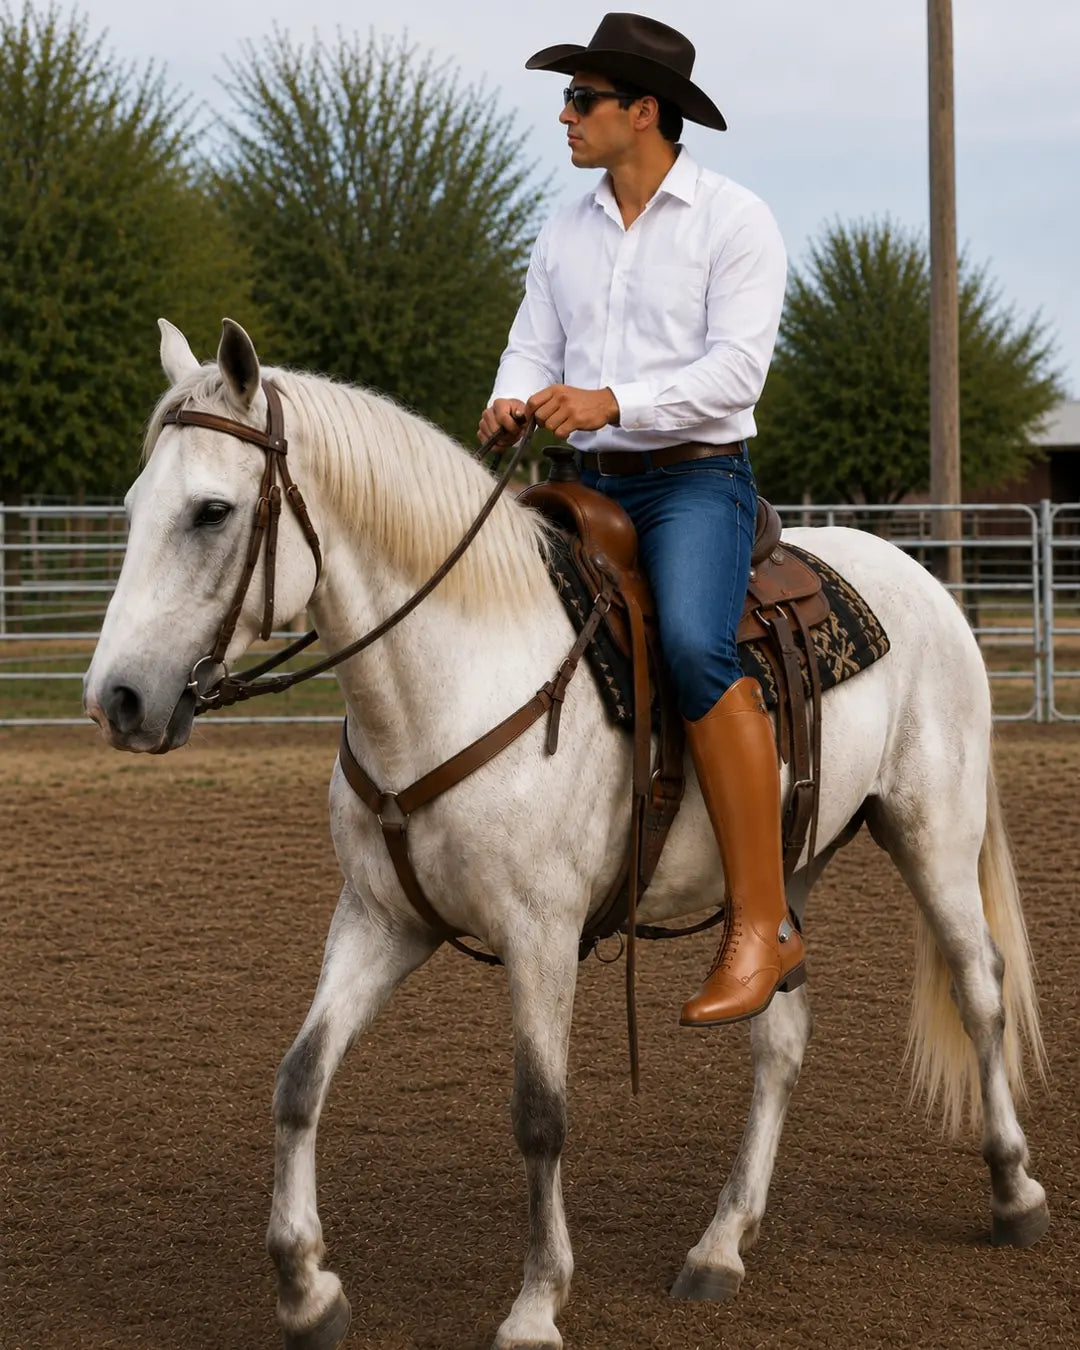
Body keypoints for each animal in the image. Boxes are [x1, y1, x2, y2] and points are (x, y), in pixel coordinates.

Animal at [84, 319, 1048, 1350]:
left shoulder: (540, 934)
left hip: (933, 836)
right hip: (787, 872)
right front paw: (307, 1288)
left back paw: (1013, 1190)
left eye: (211, 511)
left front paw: (536, 1303)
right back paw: (721, 1242)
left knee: (980, 989)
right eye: (136, 507)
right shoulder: (381, 921)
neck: (457, 675)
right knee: (779, 1034)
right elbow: (300, 1079)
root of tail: (920, 579)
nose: (118, 700)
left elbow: (540, 1114)